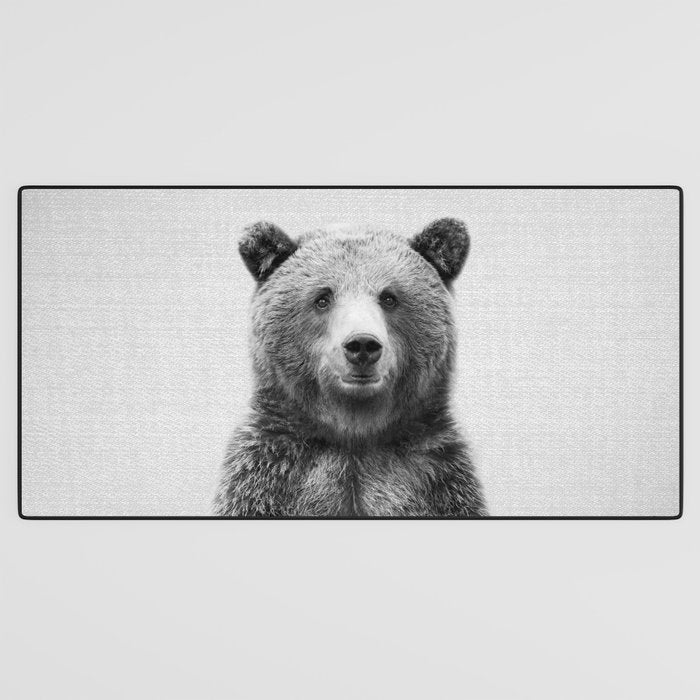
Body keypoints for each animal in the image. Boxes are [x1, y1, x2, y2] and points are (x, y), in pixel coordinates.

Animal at [212, 218, 487, 517]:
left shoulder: (438, 480)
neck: (354, 436)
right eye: (322, 298)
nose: (362, 345)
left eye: (389, 297)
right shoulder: (267, 476)